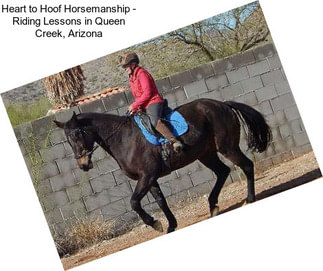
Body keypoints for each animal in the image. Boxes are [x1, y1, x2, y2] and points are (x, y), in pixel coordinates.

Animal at [54, 99, 272, 235]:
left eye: (77, 134)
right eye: (67, 140)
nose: (83, 164)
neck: (124, 138)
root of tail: (222, 104)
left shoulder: (147, 176)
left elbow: (134, 202)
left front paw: (155, 224)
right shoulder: (149, 179)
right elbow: (160, 201)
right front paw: (170, 226)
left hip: (227, 147)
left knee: (246, 166)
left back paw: (249, 199)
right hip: (206, 154)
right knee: (223, 172)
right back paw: (213, 206)